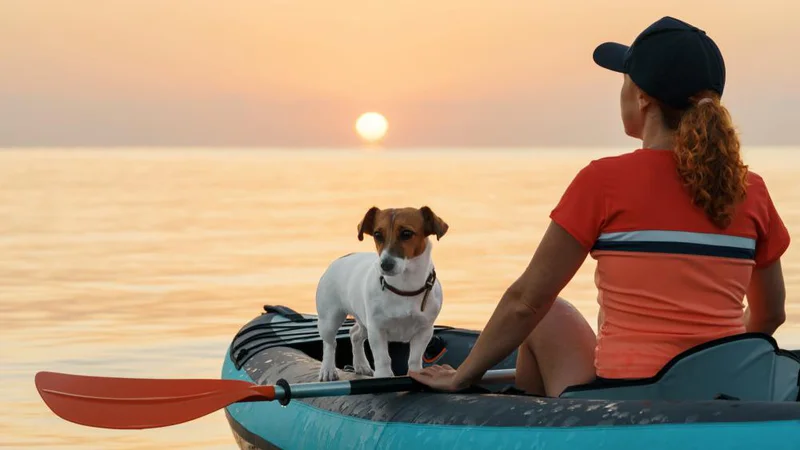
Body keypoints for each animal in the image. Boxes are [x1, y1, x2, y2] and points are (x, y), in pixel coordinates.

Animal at [314, 207, 450, 380]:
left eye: (406, 233)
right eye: (377, 234)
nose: (385, 265)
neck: (404, 288)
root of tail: (341, 258)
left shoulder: (424, 330)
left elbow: (414, 358)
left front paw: (415, 373)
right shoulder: (377, 330)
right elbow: (383, 358)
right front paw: (384, 375)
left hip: (364, 320)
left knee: (354, 334)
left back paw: (361, 365)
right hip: (330, 319)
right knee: (330, 344)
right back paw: (328, 370)